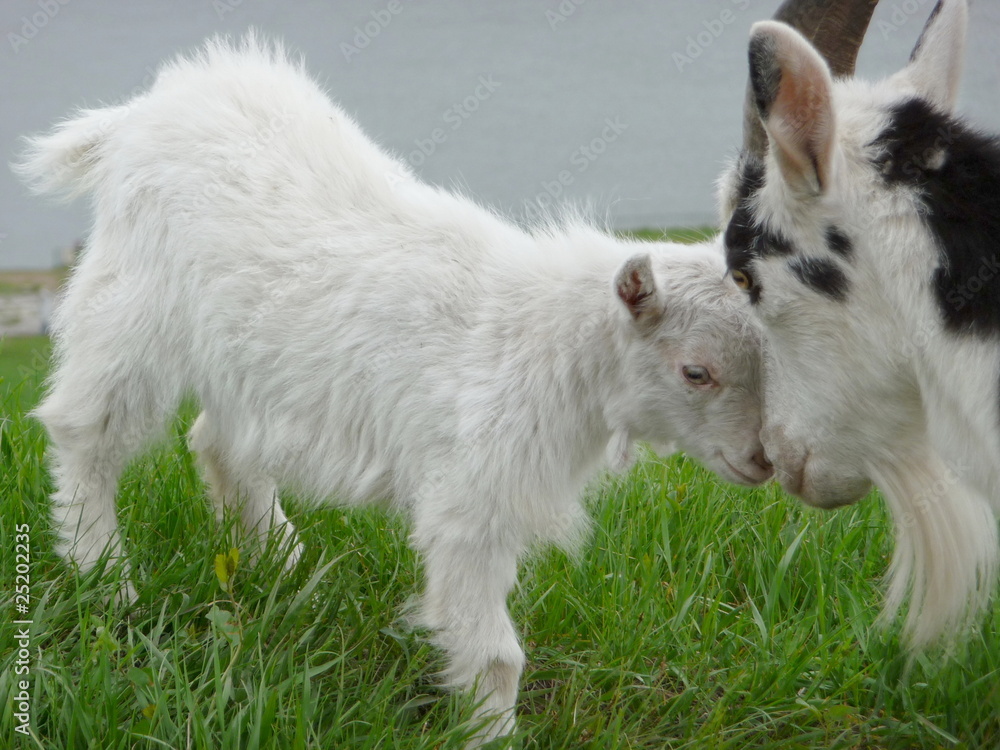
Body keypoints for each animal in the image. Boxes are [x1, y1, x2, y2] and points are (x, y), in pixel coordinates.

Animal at [15, 35, 770, 743]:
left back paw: (281, 562)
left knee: (218, 442)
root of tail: (141, 113)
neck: (543, 339)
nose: (762, 461)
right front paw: (490, 735)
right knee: (86, 432)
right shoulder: (471, 502)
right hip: (132, 306)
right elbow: (496, 656)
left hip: (245, 357)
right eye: (695, 370)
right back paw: (105, 579)